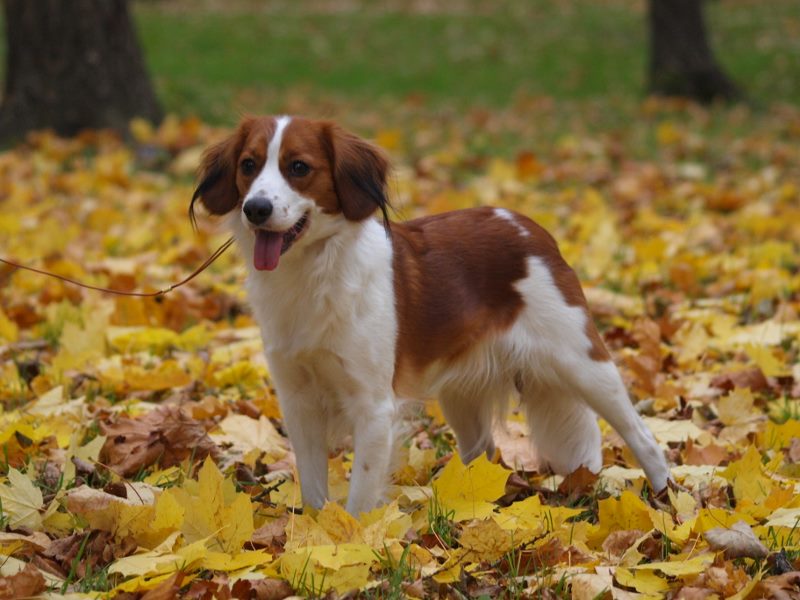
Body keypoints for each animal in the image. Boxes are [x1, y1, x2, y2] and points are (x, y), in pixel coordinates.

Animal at [191, 116, 672, 516]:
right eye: (249, 165)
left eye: (298, 167)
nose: (256, 208)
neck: (311, 272)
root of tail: (527, 226)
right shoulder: (298, 402)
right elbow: (313, 490)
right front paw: (313, 538)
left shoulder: (373, 407)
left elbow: (360, 498)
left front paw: (353, 541)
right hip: (461, 397)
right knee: (485, 453)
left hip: (582, 361)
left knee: (643, 436)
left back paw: (668, 503)